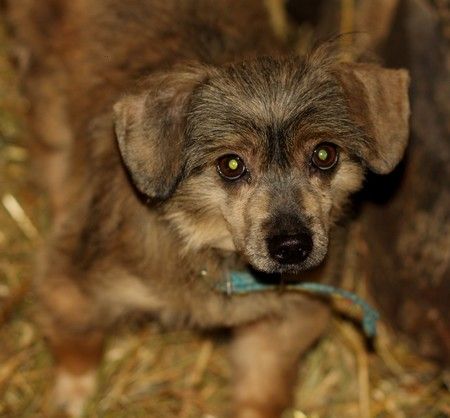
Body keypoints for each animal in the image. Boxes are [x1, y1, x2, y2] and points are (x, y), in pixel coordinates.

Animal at [10, 0, 409, 416]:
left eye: (325, 154)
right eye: (231, 164)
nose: (292, 246)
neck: (211, 253)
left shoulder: (283, 323)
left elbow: (263, 385)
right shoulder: (76, 285)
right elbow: (78, 337)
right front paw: (73, 392)